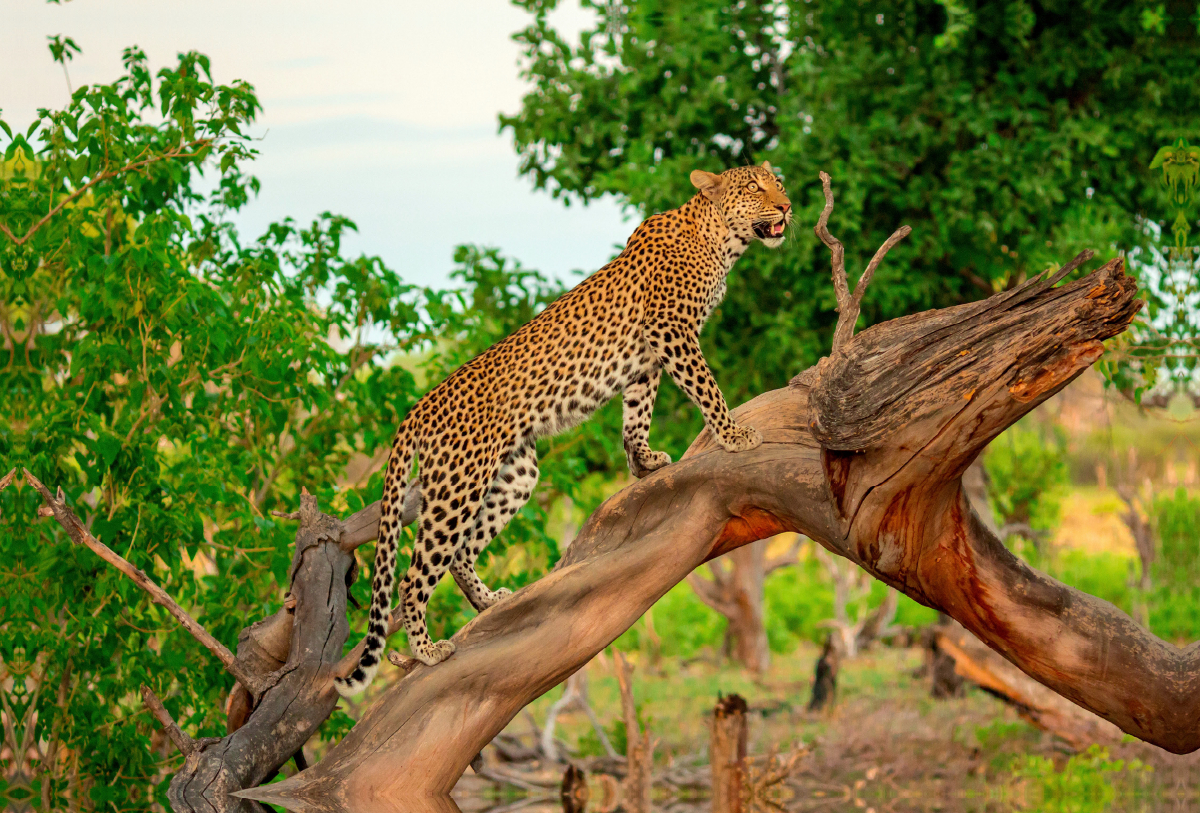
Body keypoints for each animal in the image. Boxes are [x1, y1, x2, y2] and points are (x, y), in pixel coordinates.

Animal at [333, 161, 792, 695]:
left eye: (778, 183)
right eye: (755, 188)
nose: (786, 206)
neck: (720, 241)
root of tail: (419, 408)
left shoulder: (646, 359)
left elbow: (637, 413)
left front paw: (644, 462)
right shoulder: (671, 331)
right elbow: (705, 387)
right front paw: (733, 434)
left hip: (515, 475)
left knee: (462, 552)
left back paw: (490, 603)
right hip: (457, 488)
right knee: (414, 575)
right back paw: (427, 651)